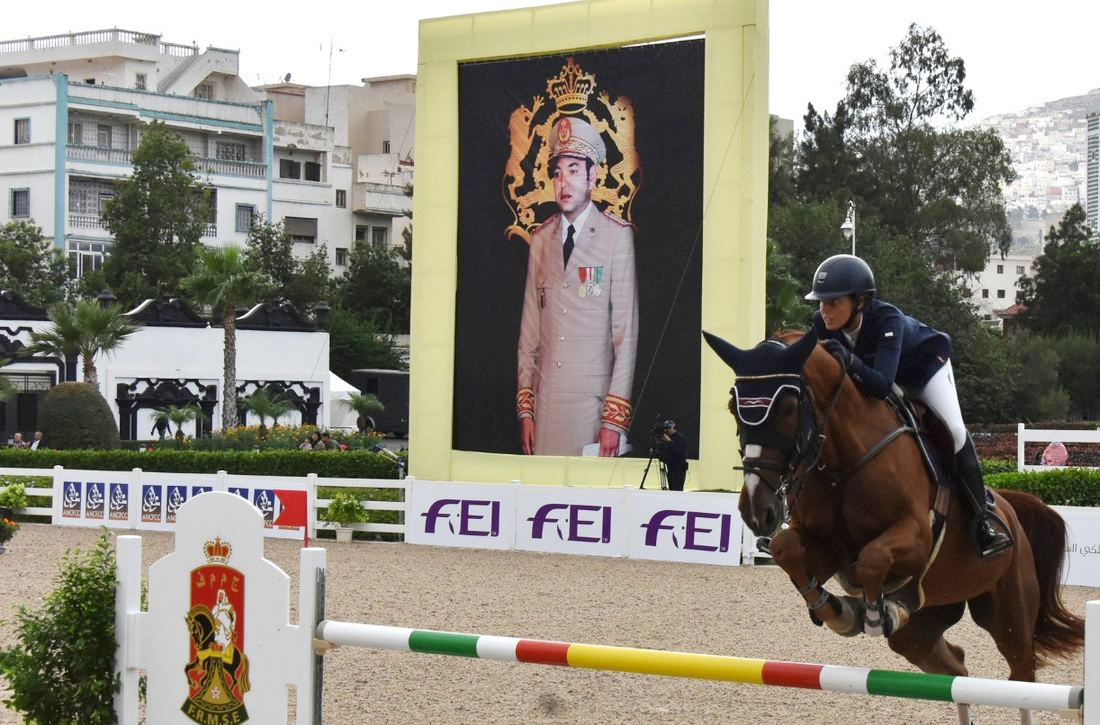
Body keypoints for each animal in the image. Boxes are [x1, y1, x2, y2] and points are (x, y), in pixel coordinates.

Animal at [704, 330, 1082, 725]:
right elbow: (786, 550)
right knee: (956, 668)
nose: (756, 511)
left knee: (1022, 673)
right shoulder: (827, 549)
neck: (841, 463)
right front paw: (838, 611)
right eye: (734, 409)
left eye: (788, 408)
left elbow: (873, 557)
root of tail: (1009, 509)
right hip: (921, 629)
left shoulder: (915, 537)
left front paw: (872, 614)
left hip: (1008, 613)